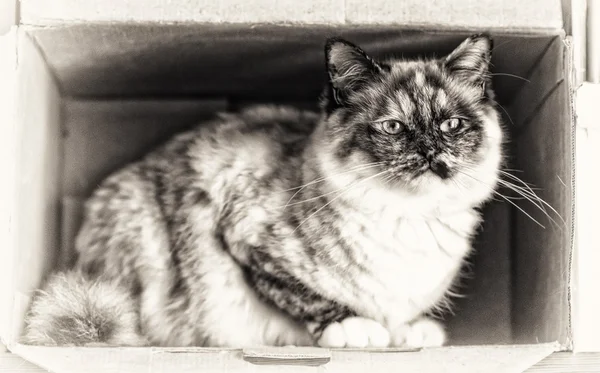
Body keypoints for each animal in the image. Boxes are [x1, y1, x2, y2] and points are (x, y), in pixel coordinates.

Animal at [22, 33, 502, 348]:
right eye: (393, 127)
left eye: (451, 124)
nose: (430, 152)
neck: (409, 220)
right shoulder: (249, 246)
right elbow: (309, 298)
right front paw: (358, 330)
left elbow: (400, 311)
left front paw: (409, 333)